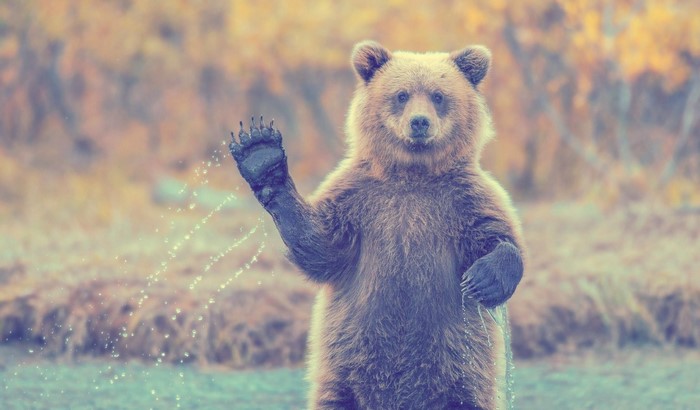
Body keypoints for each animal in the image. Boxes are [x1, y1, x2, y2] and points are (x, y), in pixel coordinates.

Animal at [229, 40, 525, 410]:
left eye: (438, 95)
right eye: (401, 94)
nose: (419, 122)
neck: (412, 174)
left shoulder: (462, 200)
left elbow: (496, 234)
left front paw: (483, 279)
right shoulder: (360, 199)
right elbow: (321, 246)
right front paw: (261, 154)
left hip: (460, 372)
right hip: (344, 369)